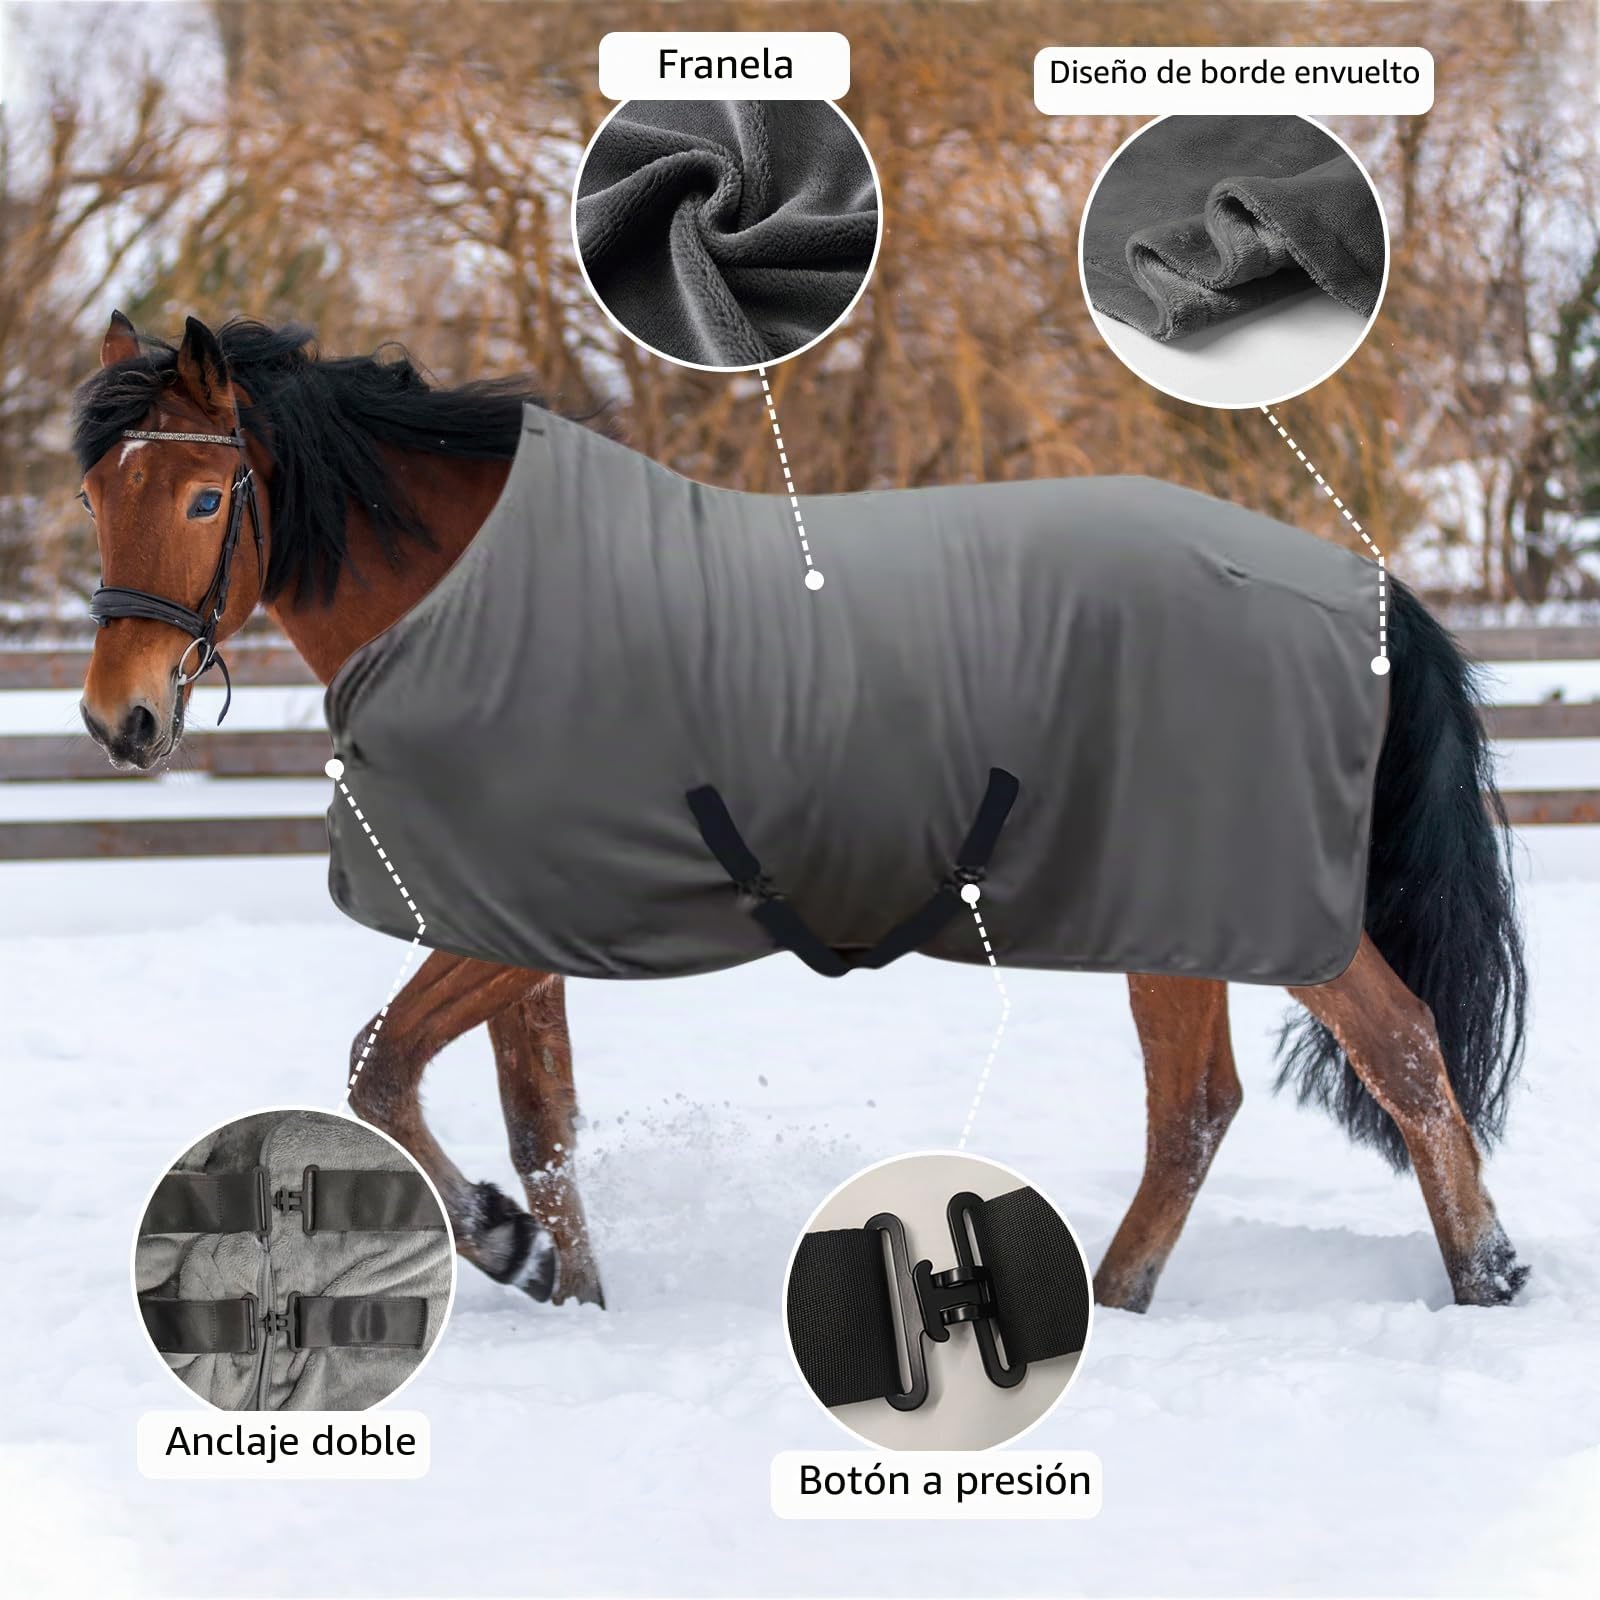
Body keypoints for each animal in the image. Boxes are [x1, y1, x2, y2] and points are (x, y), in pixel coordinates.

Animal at [73, 312, 1530, 1313]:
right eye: (95, 492)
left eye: (204, 494)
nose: (117, 719)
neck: (481, 607)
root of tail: (1363, 592)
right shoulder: (519, 930)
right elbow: (539, 1128)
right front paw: (567, 1284)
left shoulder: (504, 933)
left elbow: (381, 1068)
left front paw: (498, 1243)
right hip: (1181, 918)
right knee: (1201, 1110)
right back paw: (1122, 1300)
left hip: (1229, 901)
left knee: (1396, 1056)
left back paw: (1484, 1277)